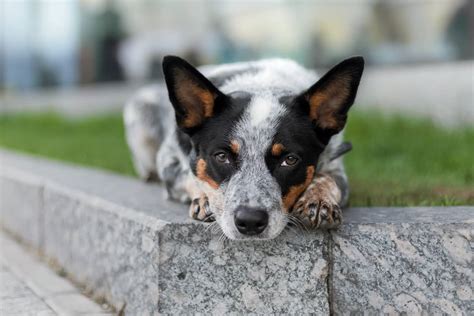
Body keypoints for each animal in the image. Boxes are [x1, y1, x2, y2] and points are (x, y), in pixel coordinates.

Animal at [124, 56, 364, 239]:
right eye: (221, 156)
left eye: (290, 159)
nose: (250, 221)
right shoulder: (169, 162)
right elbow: (191, 176)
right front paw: (204, 199)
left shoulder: (335, 164)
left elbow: (327, 179)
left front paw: (319, 200)